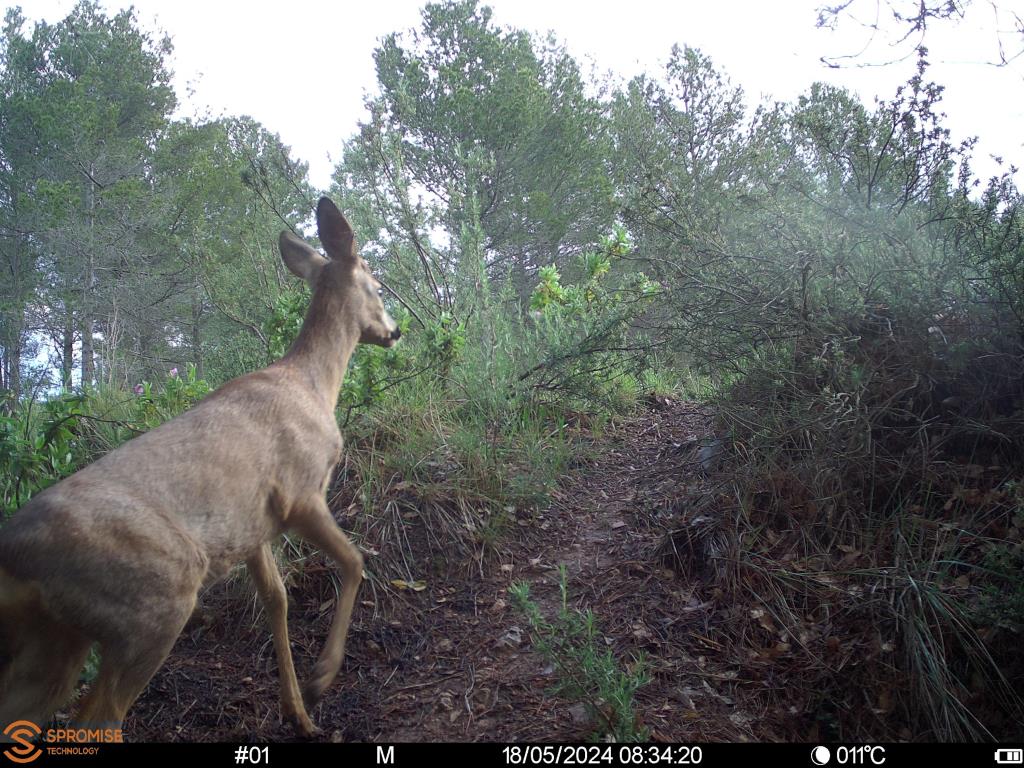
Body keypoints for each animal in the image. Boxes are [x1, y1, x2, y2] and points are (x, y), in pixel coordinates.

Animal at [0, 198, 399, 741]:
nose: (395, 330)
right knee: (100, 716)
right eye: (378, 286)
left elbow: (277, 600)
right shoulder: (299, 492)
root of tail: (12, 551)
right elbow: (355, 561)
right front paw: (321, 678)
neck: (315, 384)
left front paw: (298, 712)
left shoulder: (253, 527)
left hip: (53, 640)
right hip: (155, 600)